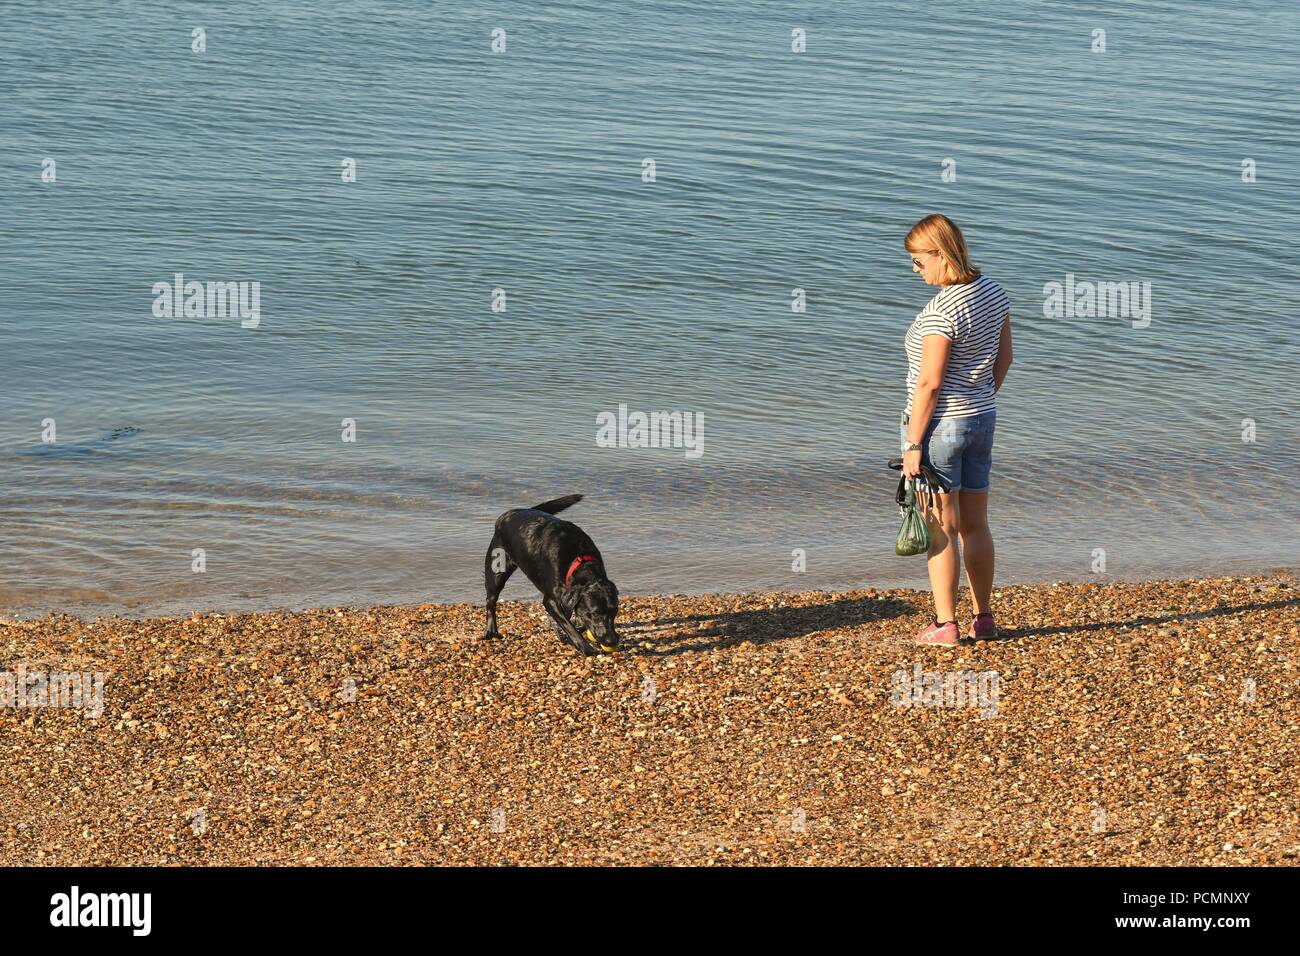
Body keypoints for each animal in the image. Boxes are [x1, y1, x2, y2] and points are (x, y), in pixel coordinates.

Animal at [486, 494, 621, 658]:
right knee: (490, 602)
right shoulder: (551, 601)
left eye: (614, 611)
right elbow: (569, 627)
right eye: (595, 614)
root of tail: (507, 514)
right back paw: (491, 631)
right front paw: (586, 648)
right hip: (496, 571)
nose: (611, 641)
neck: (579, 559)